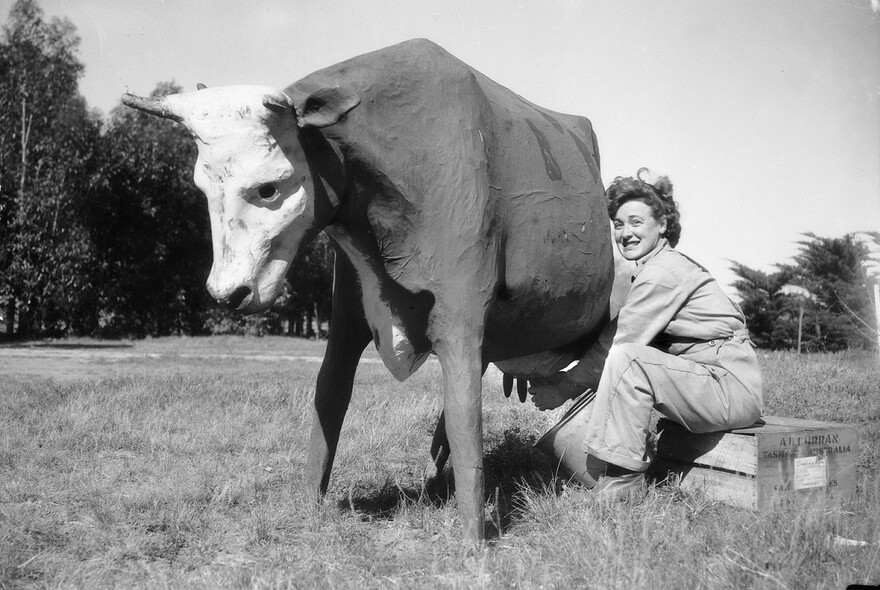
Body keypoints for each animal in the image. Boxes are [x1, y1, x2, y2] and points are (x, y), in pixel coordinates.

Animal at [122, 37, 620, 544]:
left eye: (268, 188)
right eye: (201, 187)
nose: (227, 293)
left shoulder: (460, 321)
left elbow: (466, 418)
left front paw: (472, 542)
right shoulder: (347, 318)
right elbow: (330, 397)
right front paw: (308, 508)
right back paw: (433, 478)